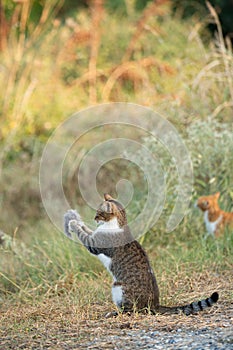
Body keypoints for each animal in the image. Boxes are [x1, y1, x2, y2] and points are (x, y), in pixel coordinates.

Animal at [64, 194, 218, 318]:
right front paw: (77, 221)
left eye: (99, 213)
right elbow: (87, 230)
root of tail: (155, 304)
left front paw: (73, 223)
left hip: (118, 288)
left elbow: (83, 234)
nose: (94, 218)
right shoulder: (94, 236)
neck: (118, 224)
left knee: (131, 310)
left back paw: (113, 313)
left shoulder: (94, 244)